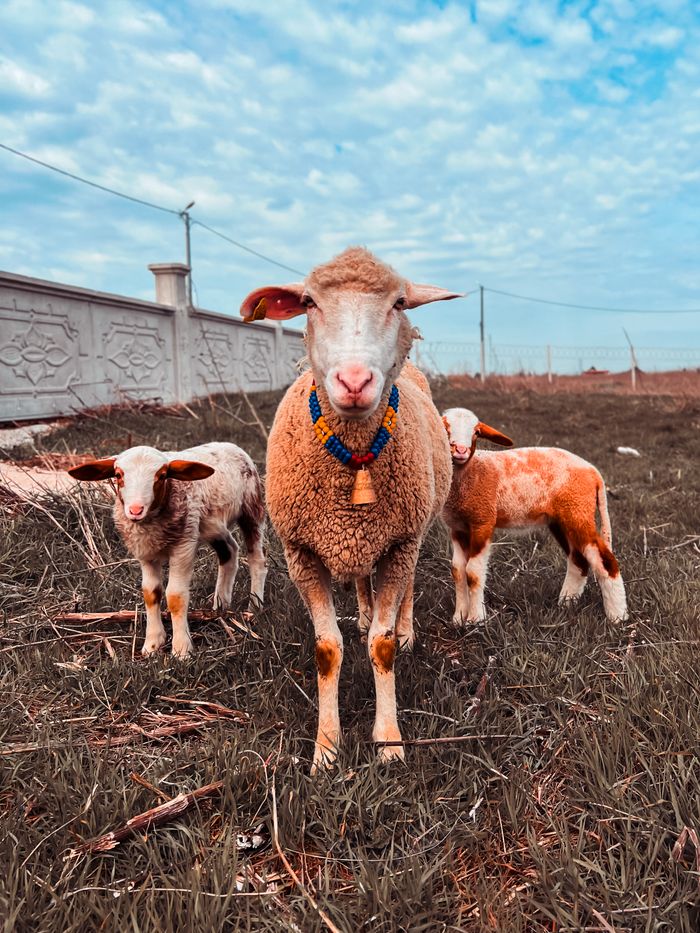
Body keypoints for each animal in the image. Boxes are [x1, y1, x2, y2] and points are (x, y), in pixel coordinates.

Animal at [68, 442, 267, 658]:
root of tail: (229, 445)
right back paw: (220, 607)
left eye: (162, 475)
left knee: (257, 560)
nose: (135, 510)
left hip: (251, 507)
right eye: (118, 475)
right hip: (213, 525)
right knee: (229, 551)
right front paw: (152, 644)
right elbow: (151, 593)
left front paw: (181, 649)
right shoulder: (145, 552)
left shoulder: (183, 545)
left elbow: (175, 596)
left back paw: (255, 607)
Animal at [240, 247, 461, 770]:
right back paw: (362, 613)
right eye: (309, 302)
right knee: (362, 580)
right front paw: (325, 748)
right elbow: (327, 649)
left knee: (403, 591)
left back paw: (404, 628)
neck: (354, 459)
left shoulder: (400, 543)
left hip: (410, 534)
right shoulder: (301, 553)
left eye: (399, 302)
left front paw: (389, 742)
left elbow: (381, 647)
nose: (355, 381)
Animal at [441, 407, 628, 623]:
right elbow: (457, 571)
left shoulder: (483, 521)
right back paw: (566, 603)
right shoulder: (457, 527)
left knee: (605, 561)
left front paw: (475, 619)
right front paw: (458, 618)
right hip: (562, 520)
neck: (471, 471)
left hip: (578, 512)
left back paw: (617, 615)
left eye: (476, 432)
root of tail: (593, 472)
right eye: (445, 428)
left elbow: (473, 572)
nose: (461, 450)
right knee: (578, 560)